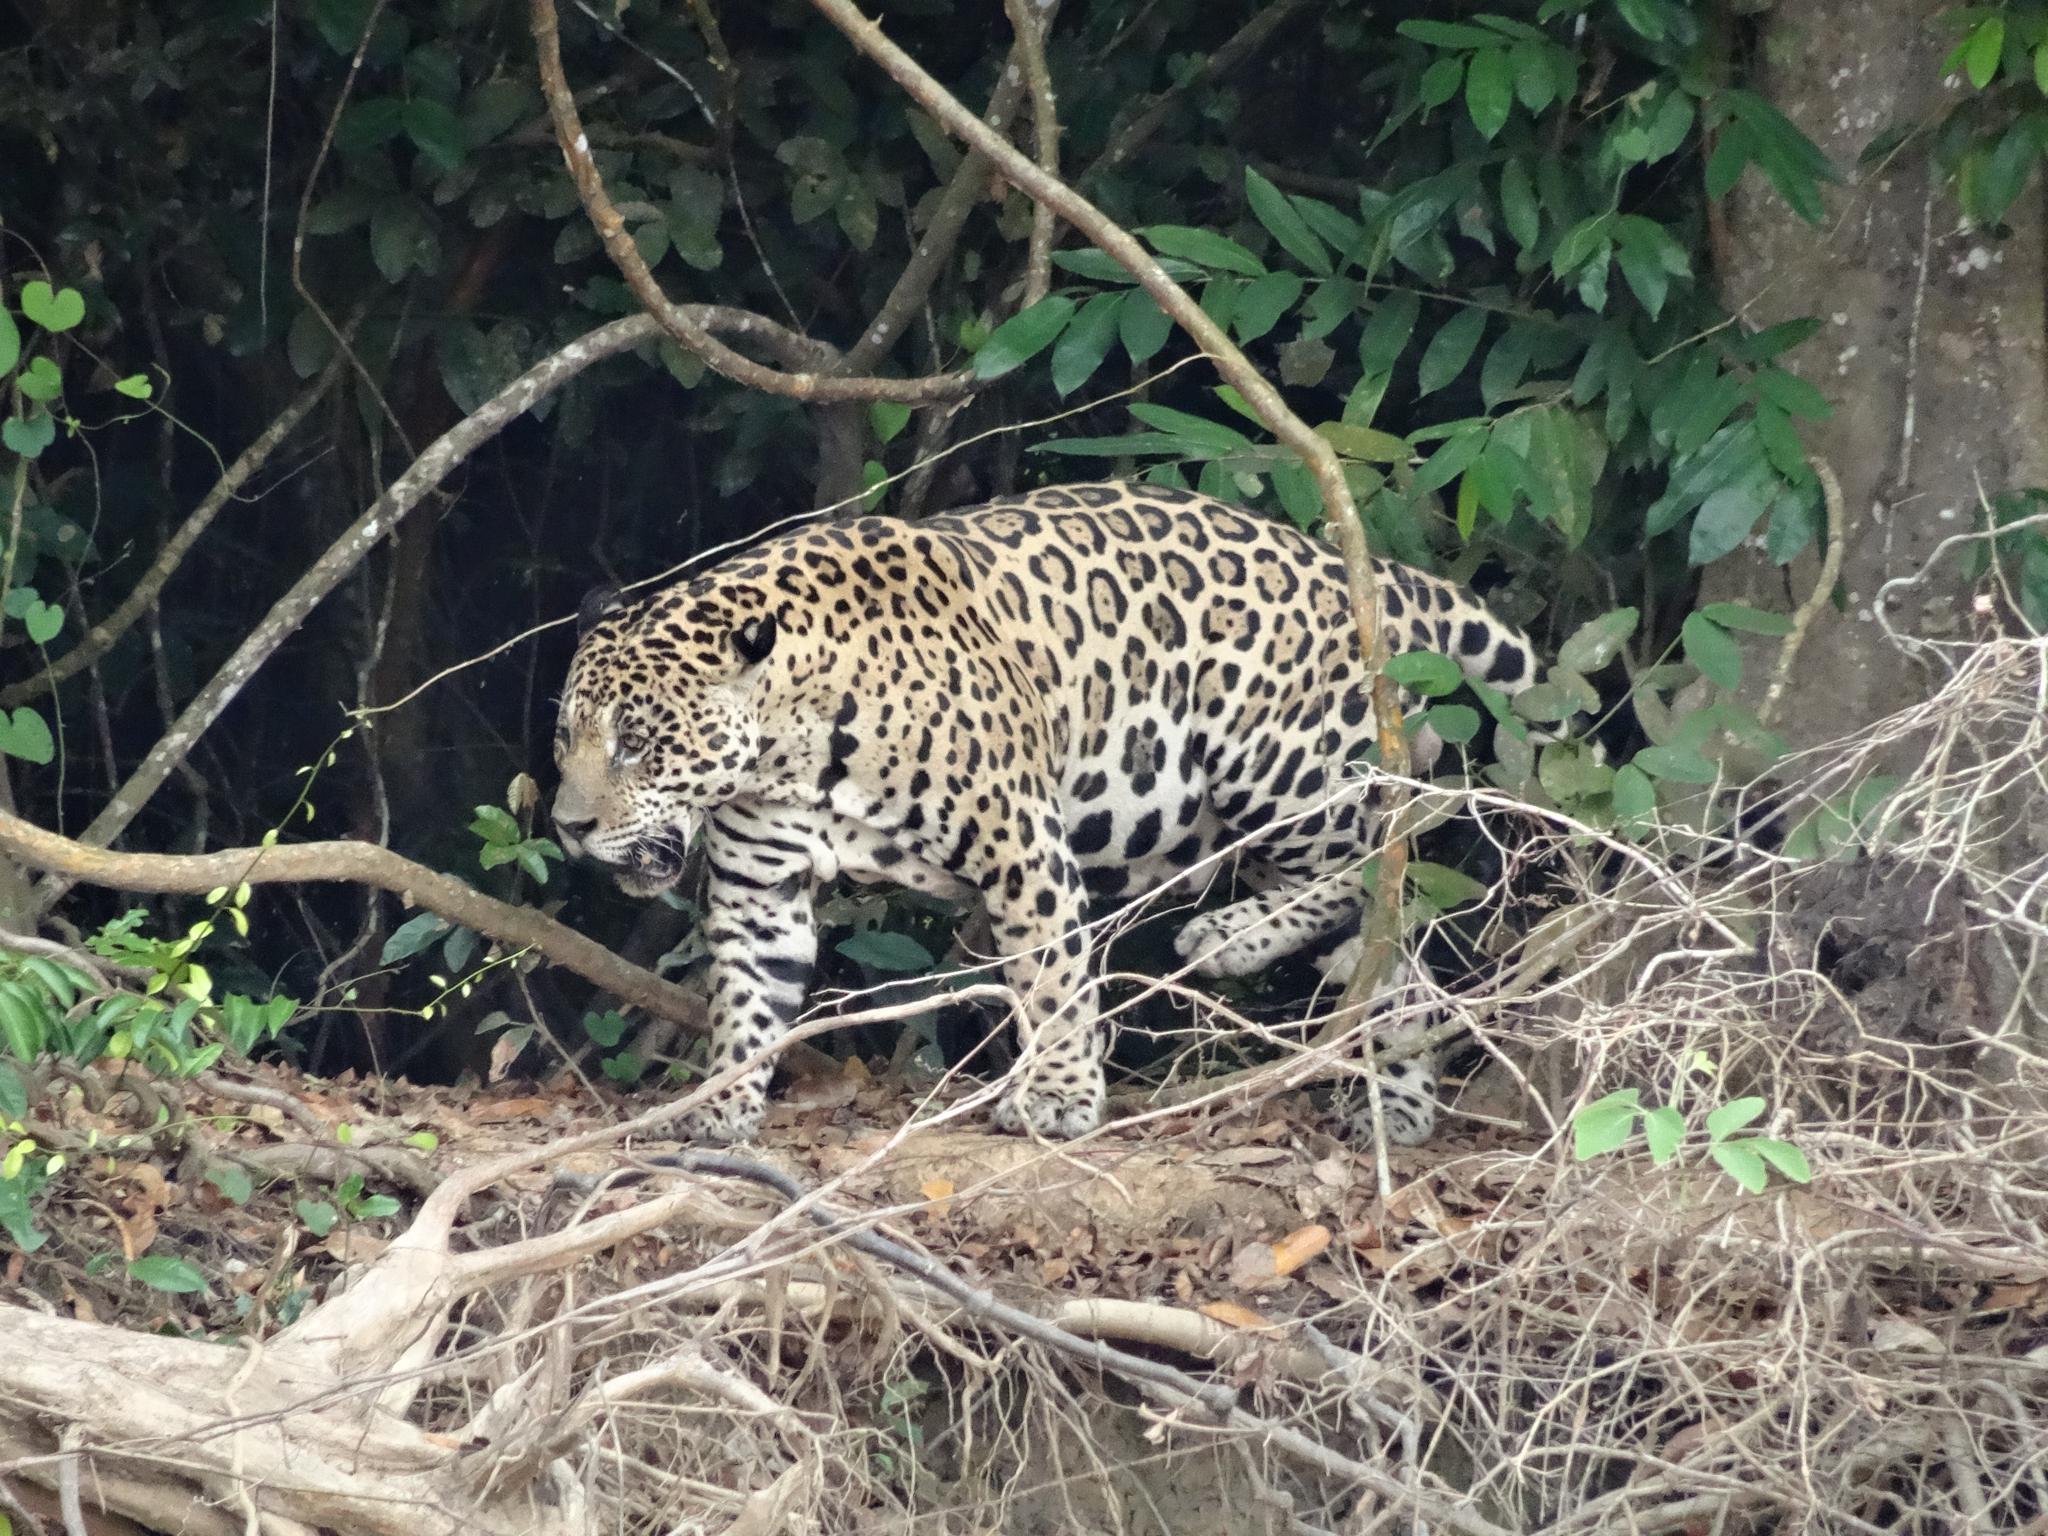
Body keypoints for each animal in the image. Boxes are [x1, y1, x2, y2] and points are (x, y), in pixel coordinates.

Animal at [551, 481, 1540, 1145]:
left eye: (637, 741)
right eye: (567, 737)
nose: (569, 826)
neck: (788, 753)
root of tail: (1356, 567)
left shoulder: (1017, 842)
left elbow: (1054, 977)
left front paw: (1060, 1096)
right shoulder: (761, 886)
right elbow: (747, 999)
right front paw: (717, 1101)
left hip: (1275, 763)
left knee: (1382, 869)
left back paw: (1230, 940)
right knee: (1393, 942)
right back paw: (1396, 1099)